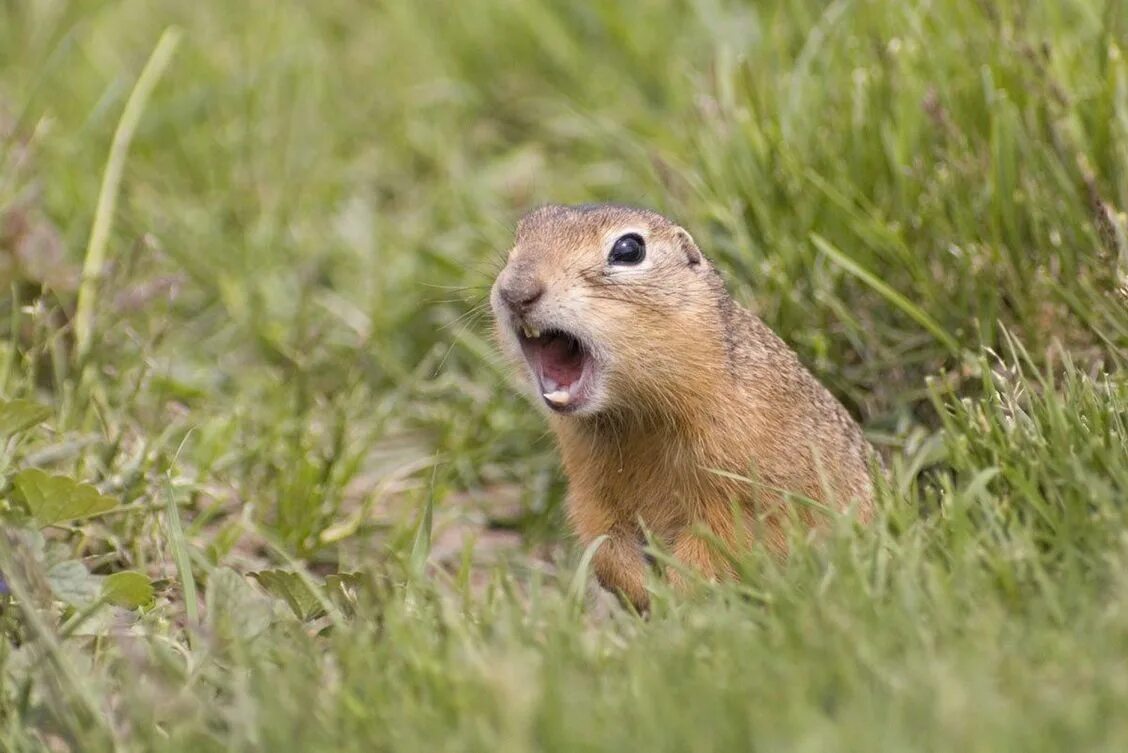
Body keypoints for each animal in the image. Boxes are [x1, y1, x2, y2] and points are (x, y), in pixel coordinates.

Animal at [489, 201, 875, 613]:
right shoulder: (589, 487)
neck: (634, 415)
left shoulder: (741, 480)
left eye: (629, 249)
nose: (515, 290)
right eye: (520, 236)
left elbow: (721, 538)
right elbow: (604, 539)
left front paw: (680, 597)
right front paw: (642, 591)